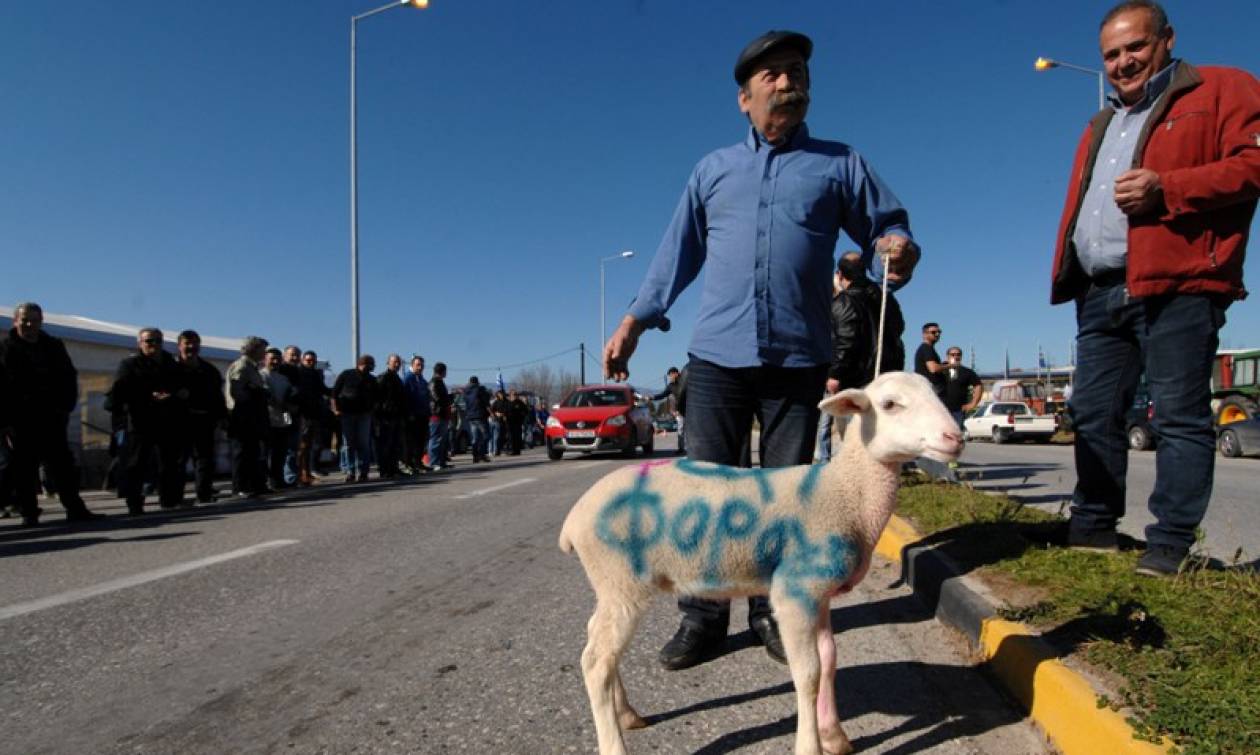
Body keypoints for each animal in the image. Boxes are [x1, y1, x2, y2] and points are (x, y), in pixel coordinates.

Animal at [556, 373, 957, 755]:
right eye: (890, 404)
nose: (954, 436)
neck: (845, 493)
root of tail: (574, 519)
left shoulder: (820, 593)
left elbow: (829, 659)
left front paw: (834, 736)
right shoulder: (795, 590)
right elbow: (808, 673)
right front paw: (809, 746)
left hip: (612, 585)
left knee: (598, 644)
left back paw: (627, 714)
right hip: (621, 580)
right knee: (595, 662)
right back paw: (614, 743)